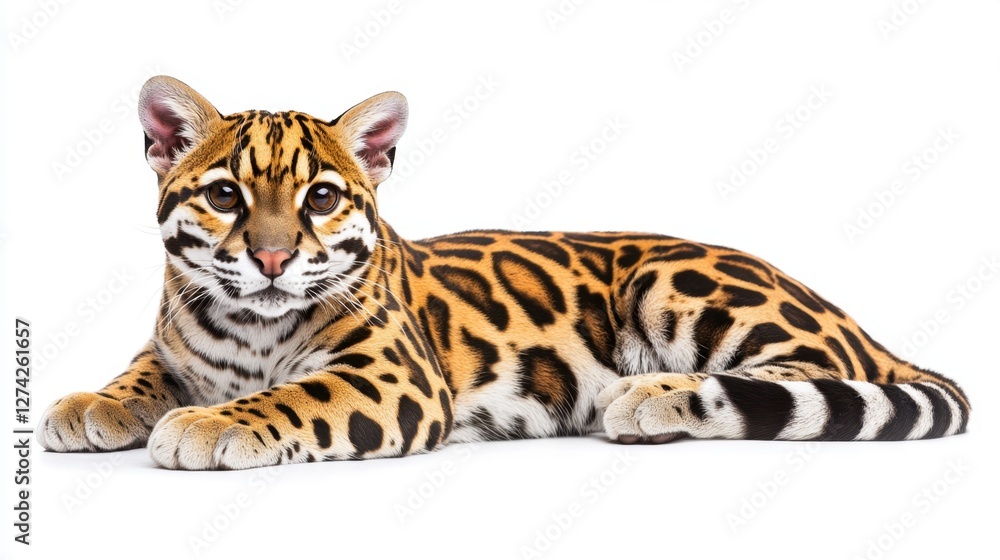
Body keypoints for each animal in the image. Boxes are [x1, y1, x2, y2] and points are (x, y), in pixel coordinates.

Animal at [37, 76, 970, 470]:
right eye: (227, 194)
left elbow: (286, 396)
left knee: (807, 376)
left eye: (322, 197)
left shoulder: (390, 377)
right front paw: (91, 405)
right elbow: (141, 372)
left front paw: (207, 423)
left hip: (674, 278)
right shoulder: (174, 345)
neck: (246, 322)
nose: (271, 257)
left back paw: (644, 396)